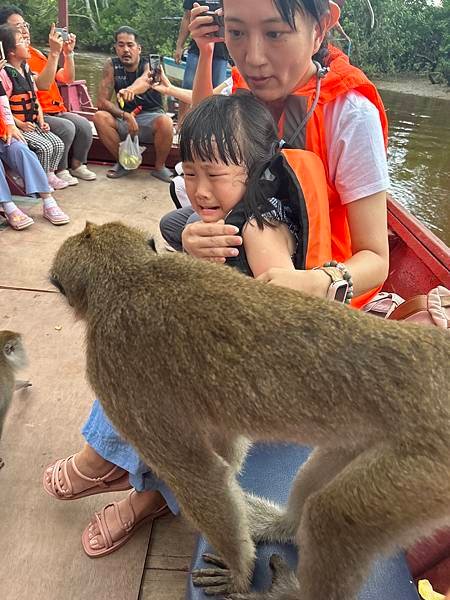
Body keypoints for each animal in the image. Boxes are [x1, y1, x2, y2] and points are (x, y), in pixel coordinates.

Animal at [50, 223, 450, 600]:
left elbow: (200, 475)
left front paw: (239, 571)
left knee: (334, 517)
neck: (129, 276)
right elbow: (225, 448)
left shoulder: (111, 372)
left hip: (430, 464)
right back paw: (285, 526)